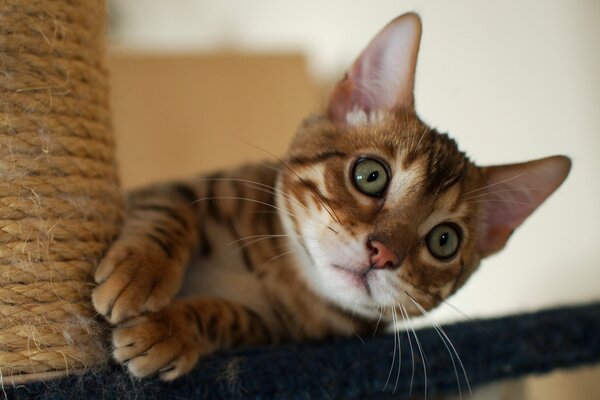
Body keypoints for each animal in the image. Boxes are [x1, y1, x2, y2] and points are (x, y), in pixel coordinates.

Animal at [91, 13, 568, 382]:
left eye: (444, 241)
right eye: (371, 175)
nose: (382, 253)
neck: (283, 273)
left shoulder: (279, 333)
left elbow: (226, 317)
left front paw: (168, 329)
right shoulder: (190, 187)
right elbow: (169, 209)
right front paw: (140, 272)